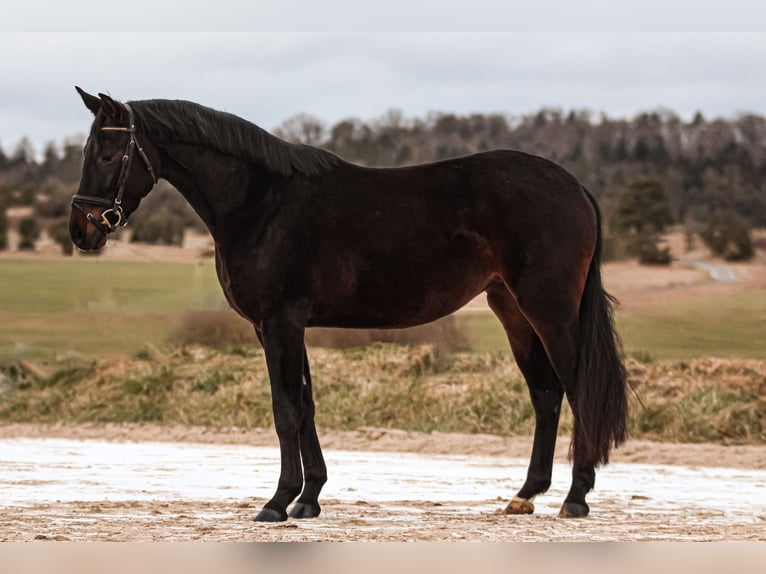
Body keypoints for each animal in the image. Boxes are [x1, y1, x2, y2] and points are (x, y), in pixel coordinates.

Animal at [69, 87, 628, 522]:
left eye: (108, 155)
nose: (82, 232)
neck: (261, 201)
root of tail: (575, 186)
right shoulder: (281, 326)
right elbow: (306, 405)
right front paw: (308, 498)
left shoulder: (280, 322)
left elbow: (285, 409)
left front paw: (276, 502)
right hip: (512, 310)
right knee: (545, 393)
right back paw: (526, 494)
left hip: (550, 311)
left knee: (577, 388)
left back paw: (576, 498)